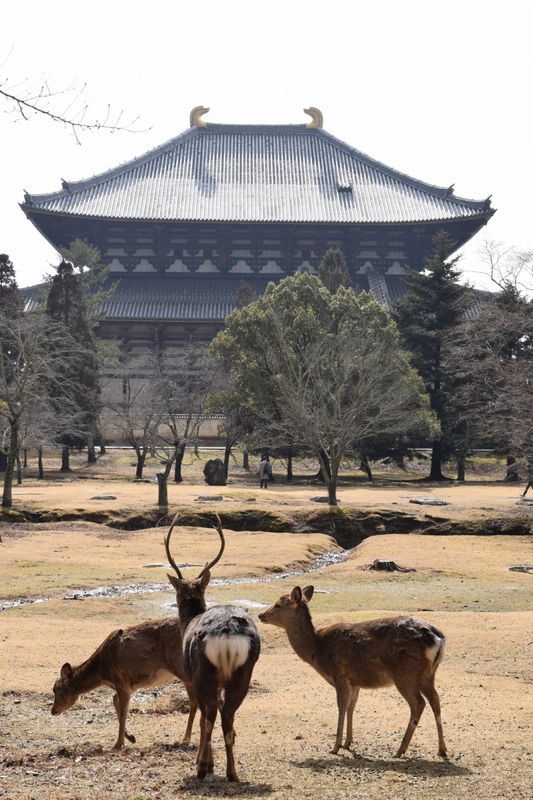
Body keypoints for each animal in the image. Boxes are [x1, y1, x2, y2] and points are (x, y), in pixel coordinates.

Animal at [51, 616, 197, 752]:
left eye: (59, 690)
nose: (53, 711)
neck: (102, 672)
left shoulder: (122, 683)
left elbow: (123, 711)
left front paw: (118, 744)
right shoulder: (127, 687)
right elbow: (116, 702)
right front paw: (131, 737)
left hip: (182, 669)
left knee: (194, 701)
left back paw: (186, 739)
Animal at [164, 512, 260, 780]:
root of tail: (227, 631)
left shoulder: (191, 677)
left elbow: (200, 716)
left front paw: (205, 762)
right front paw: (213, 763)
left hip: (203, 673)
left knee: (211, 715)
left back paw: (203, 769)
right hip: (243, 673)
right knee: (227, 715)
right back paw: (232, 772)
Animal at [258, 584, 444, 760]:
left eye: (278, 604)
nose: (261, 615)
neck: (317, 649)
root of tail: (437, 640)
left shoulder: (340, 674)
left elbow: (341, 707)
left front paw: (335, 746)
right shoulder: (355, 681)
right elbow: (351, 707)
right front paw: (348, 742)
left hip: (405, 674)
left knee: (418, 704)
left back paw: (400, 750)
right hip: (428, 674)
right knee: (435, 700)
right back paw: (442, 749)